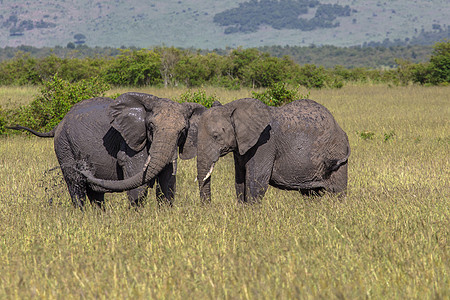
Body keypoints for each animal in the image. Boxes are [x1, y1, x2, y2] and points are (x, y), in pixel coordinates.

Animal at [10, 92, 206, 209]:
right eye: (150, 127)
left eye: (183, 131)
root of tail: (57, 125)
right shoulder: (130, 143)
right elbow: (139, 183)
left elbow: (168, 183)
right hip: (64, 146)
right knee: (76, 186)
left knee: (95, 194)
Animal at [196, 97, 348, 203]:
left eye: (216, 136)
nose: (208, 208)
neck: (232, 107)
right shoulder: (240, 147)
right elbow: (239, 181)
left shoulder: (264, 143)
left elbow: (257, 180)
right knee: (311, 194)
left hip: (337, 153)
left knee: (338, 191)